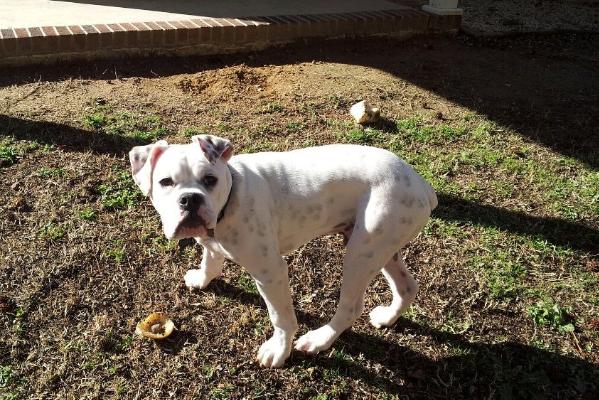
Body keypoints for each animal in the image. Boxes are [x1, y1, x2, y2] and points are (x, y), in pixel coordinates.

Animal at [129, 135, 436, 368]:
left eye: (210, 180)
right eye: (165, 182)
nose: (190, 199)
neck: (231, 197)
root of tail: (422, 185)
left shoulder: (271, 273)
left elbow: (281, 317)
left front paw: (278, 350)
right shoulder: (212, 244)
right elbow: (210, 261)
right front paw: (201, 279)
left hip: (362, 253)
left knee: (351, 306)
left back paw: (319, 339)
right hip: (381, 247)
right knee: (407, 286)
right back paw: (387, 317)